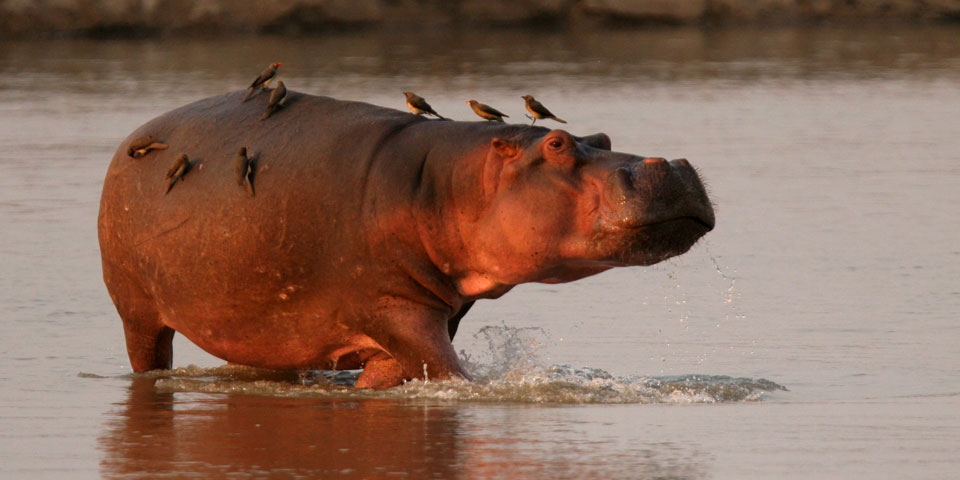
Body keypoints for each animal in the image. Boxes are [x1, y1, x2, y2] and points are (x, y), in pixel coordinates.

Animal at [98, 90, 714, 388]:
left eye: (603, 137)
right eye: (558, 145)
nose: (671, 161)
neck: (449, 184)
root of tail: (135, 134)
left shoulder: (437, 311)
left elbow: (397, 369)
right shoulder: (393, 305)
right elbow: (445, 370)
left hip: (262, 324)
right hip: (136, 308)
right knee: (147, 354)